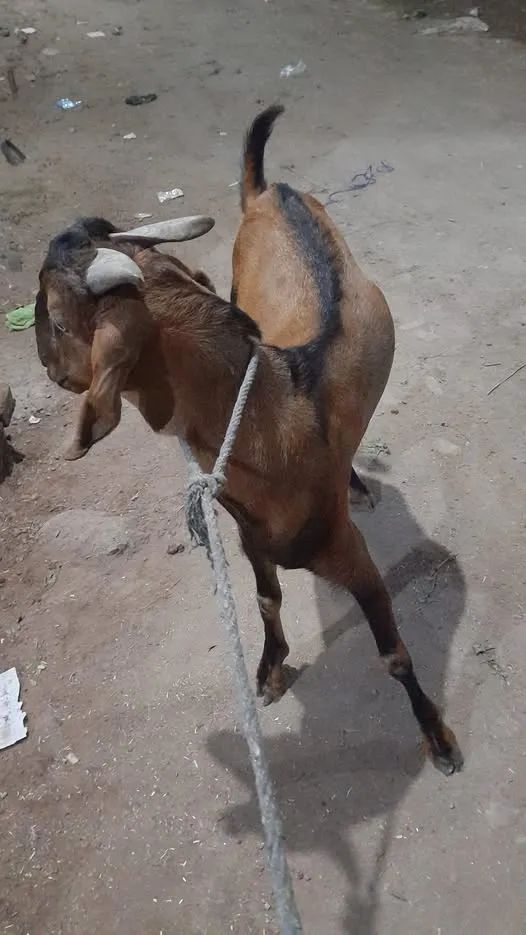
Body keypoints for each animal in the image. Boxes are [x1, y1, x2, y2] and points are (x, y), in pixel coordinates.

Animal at [34, 110, 462, 776]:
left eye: (55, 319)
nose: (45, 364)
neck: (270, 416)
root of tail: (267, 191)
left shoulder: (351, 553)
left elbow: (393, 654)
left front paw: (436, 736)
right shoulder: (249, 537)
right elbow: (265, 598)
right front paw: (269, 669)